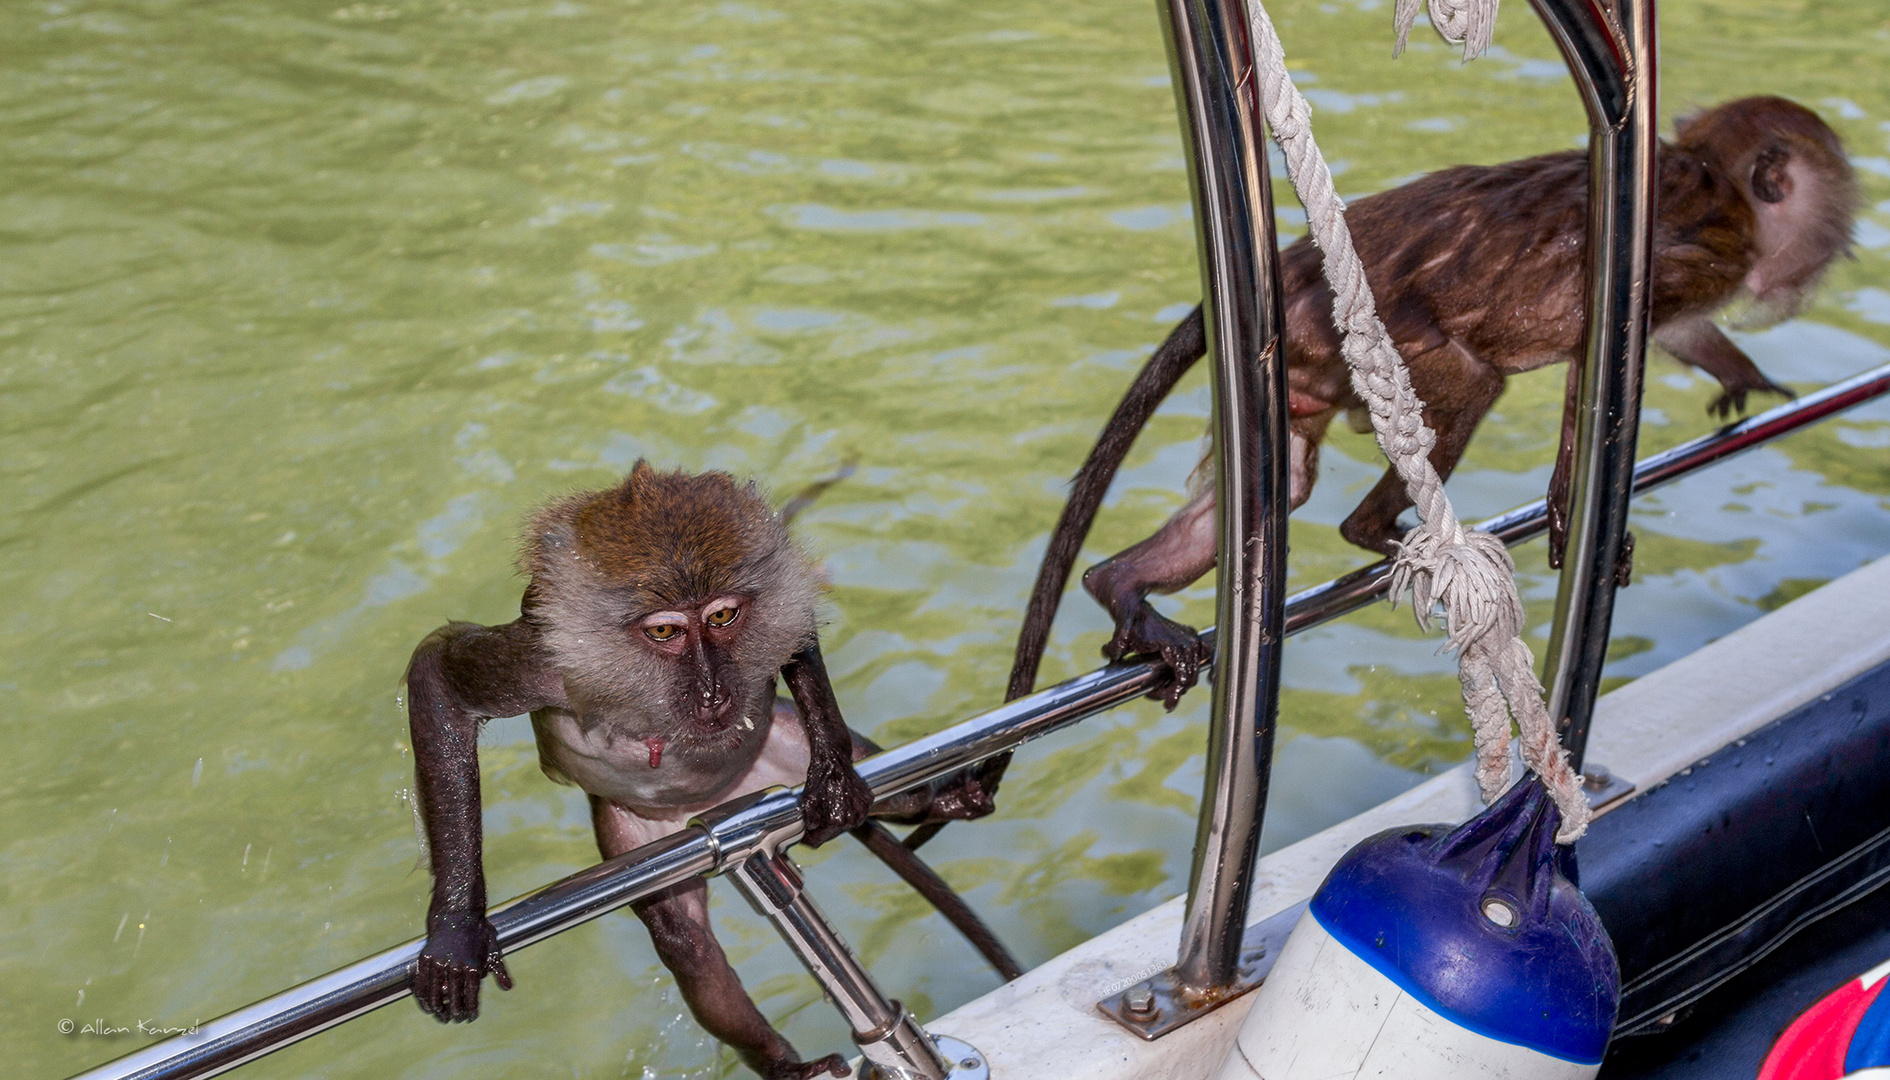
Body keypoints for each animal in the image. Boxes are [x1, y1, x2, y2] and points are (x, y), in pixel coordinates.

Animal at [402, 465, 1005, 1080]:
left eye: (721, 617)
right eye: (665, 633)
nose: (714, 691)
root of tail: (724, 802)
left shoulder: (769, 607)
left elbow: (796, 628)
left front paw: (836, 778)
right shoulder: (545, 658)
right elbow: (438, 678)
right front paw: (456, 927)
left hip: (778, 757)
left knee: (879, 779)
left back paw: (937, 798)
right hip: (651, 834)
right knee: (686, 942)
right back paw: (780, 1063)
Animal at [1020, 95, 1859, 711]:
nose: (1838, 243)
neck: (1719, 182)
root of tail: (1293, 261)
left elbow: (1672, 334)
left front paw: (1740, 375)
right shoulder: (1703, 253)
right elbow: (1597, 343)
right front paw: (1573, 509)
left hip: (1306, 363)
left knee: (1289, 480)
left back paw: (1118, 587)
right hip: (1356, 334)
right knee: (1472, 384)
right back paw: (1371, 531)